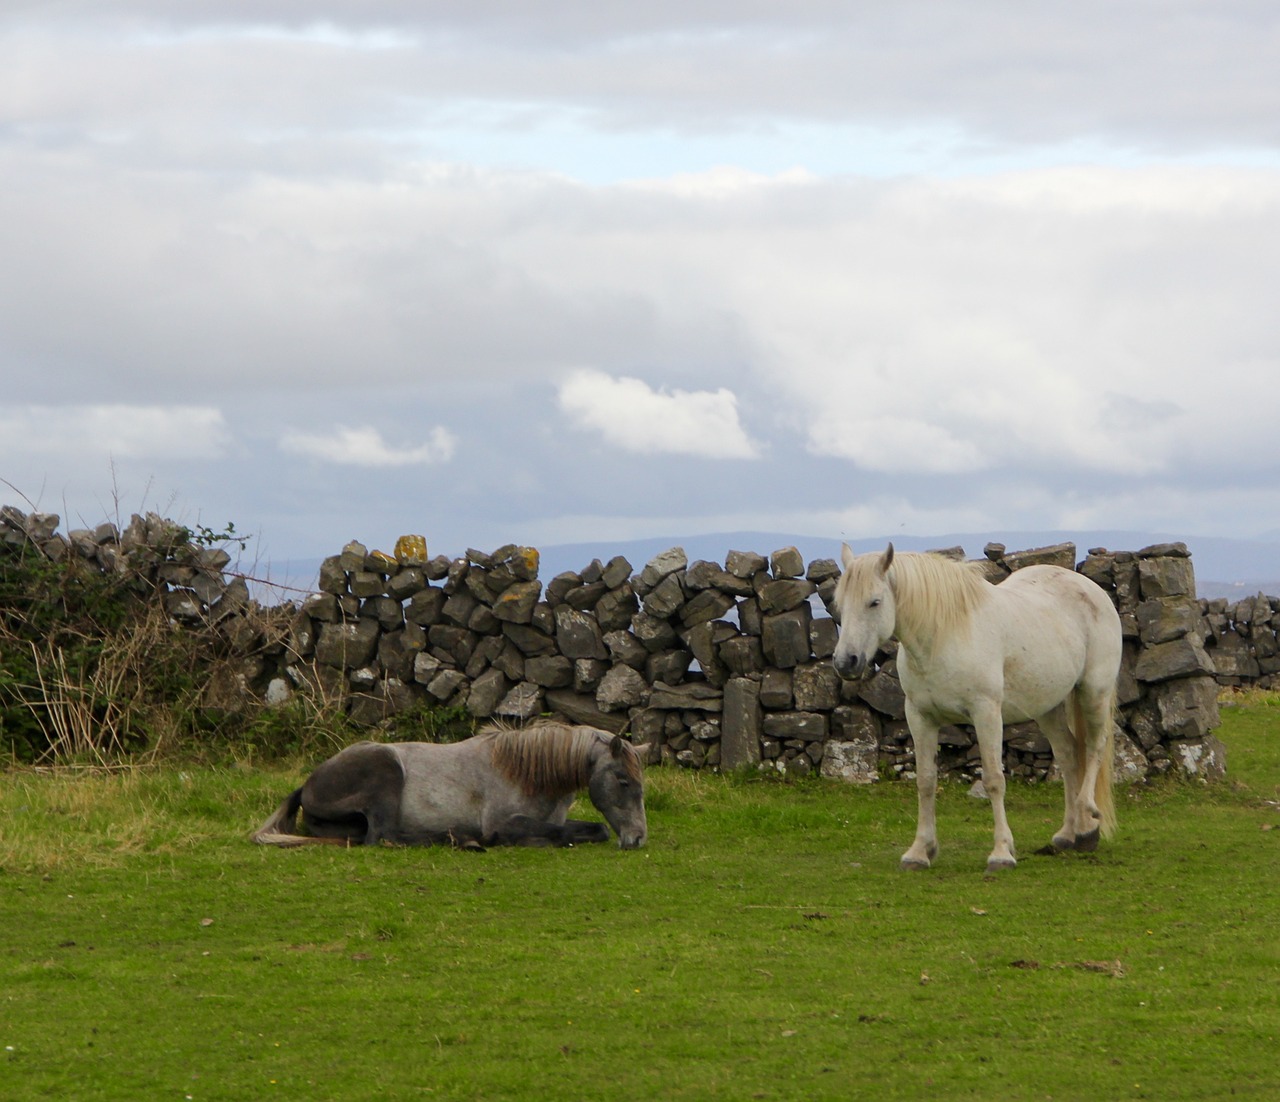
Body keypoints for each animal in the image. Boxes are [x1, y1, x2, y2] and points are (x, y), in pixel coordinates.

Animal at [252, 721, 650, 849]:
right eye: (623, 780)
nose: (638, 838)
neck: (525, 772)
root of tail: (308, 786)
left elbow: (595, 829)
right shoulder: (504, 822)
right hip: (386, 770)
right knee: (384, 837)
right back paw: (462, 839)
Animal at [829, 542, 1121, 870]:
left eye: (874, 602)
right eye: (840, 604)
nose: (846, 662)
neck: (943, 637)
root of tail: (1092, 589)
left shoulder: (986, 714)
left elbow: (994, 780)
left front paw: (1002, 853)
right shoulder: (920, 717)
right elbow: (926, 782)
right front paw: (920, 851)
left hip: (1094, 692)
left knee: (1094, 747)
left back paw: (1088, 818)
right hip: (1048, 707)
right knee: (1069, 755)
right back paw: (1071, 834)